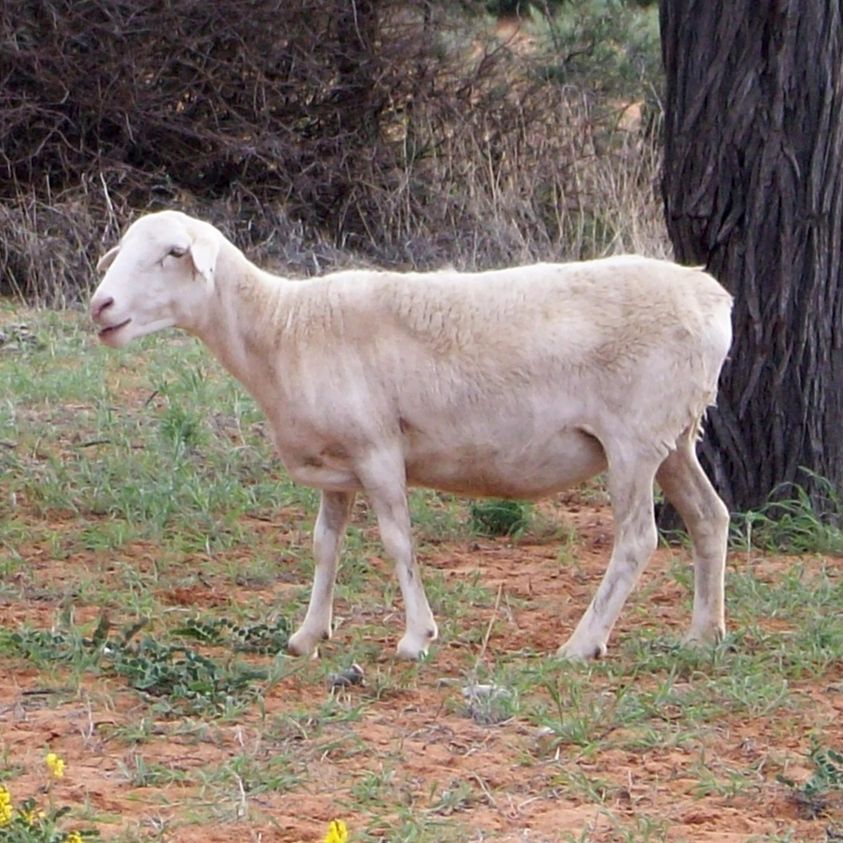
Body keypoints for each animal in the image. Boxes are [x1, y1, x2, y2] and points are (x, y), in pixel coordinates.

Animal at [90, 209, 732, 660]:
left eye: (174, 252)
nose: (101, 306)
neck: (281, 328)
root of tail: (714, 299)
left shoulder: (377, 449)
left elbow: (398, 541)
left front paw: (416, 637)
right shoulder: (336, 466)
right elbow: (324, 545)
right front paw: (308, 634)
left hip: (634, 439)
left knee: (637, 540)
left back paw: (581, 644)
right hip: (674, 437)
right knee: (710, 517)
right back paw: (704, 633)